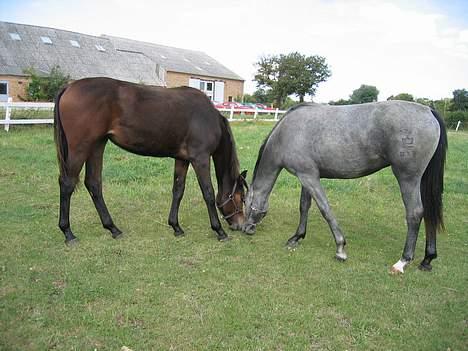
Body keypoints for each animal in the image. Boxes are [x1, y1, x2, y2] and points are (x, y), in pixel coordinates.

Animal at [55, 78, 249, 246]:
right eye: (241, 197)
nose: (241, 225)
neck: (207, 118)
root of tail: (69, 87)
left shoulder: (182, 159)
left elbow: (178, 190)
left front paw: (176, 226)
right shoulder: (200, 159)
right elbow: (208, 193)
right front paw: (219, 231)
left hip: (96, 145)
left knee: (94, 184)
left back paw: (113, 229)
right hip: (80, 148)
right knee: (67, 183)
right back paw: (68, 233)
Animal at [243, 100, 448, 274]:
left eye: (245, 204)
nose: (245, 229)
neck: (286, 134)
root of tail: (428, 111)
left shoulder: (309, 178)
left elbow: (325, 210)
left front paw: (340, 248)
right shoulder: (306, 176)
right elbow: (304, 206)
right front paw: (297, 236)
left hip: (408, 179)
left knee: (415, 213)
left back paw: (403, 261)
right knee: (429, 211)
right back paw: (428, 259)